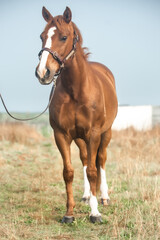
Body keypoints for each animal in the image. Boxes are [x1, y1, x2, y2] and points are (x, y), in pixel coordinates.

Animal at [35, 5, 117, 223]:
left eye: (64, 37)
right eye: (42, 36)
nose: (43, 73)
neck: (76, 90)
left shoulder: (94, 134)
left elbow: (93, 171)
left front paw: (95, 213)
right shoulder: (61, 135)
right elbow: (69, 172)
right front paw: (69, 213)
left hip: (105, 134)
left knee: (101, 160)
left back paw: (103, 197)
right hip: (80, 139)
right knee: (86, 159)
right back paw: (87, 195)